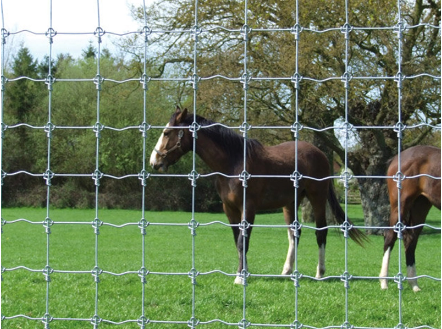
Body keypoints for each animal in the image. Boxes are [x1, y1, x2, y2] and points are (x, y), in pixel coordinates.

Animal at [150, 106, 364, 284]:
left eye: (167, 133)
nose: (154, 162)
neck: (233, 164)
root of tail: (320, 154)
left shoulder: (249, 208)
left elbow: (243, 242)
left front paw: (241, 277)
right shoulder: (230, 209)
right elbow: (237, 241)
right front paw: (242, 273)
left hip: (317, 197)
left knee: (321, 231)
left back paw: (320, 273)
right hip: (290, 204)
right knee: (294, 234)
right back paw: (287, 271)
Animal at [380, 145, 442, 290]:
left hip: (420, 206)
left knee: (411, 240)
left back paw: (414, 285)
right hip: (400, 206)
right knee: (390, 237)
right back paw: (384, 282)